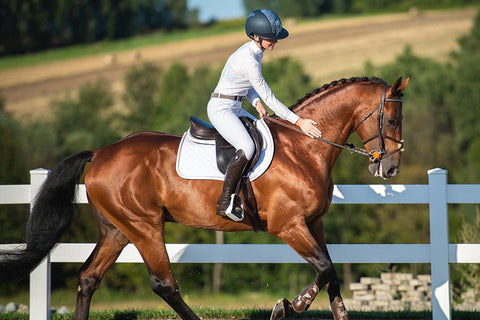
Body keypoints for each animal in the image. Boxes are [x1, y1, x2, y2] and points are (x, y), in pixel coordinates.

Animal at [0, 75, 408, 320]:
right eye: (391, 120)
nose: (390, 169)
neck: (305, 147)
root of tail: (100, 152)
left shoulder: (314, 224)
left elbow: (332, 274)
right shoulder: (289, 226)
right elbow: (323, 270)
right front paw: (287, 307)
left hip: (116, 230)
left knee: (88, 278)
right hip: (144, 226)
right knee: (163, 283)